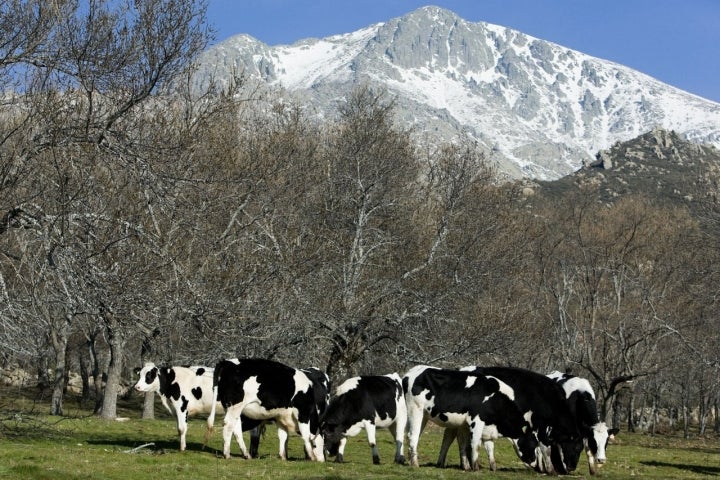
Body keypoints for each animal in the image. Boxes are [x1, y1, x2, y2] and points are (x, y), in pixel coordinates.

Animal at [134, 364, 262, 454]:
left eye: (149, 375)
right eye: (139, 375)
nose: (136, 387)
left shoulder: (182, 406)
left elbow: (182, 428)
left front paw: (182, 449)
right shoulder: (175, 410)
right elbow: (179, 429)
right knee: (239, 430)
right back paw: (247, 454)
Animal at [402, 366, 536, 470]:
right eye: (533, 444)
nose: (535, 465)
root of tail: (411, 372)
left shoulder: (485, 426)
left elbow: (488, 447)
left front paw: (491, 467)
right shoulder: (476, 421)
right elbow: (475, 444)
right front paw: (475, 468)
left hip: (424, 415)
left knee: (412, 435)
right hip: (415, 410)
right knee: (413, 436)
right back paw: (415, 464)